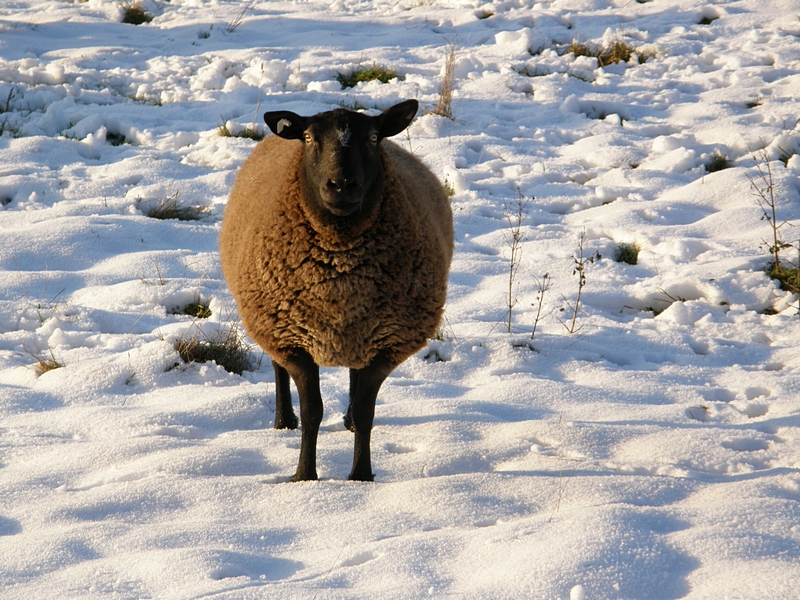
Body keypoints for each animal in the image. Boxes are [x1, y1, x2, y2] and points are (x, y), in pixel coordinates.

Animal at [219, 99, 454, 482]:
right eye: (310, 138)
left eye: (373, 138)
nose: (342, 185)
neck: (341, 278)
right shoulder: (292, 338)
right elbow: (312, 411)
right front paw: (304, 476)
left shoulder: (386, 342)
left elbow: (365, 411)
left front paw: (360, 475)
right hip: (269, 317)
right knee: (277, 367)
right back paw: (283, 420)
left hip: (363, 332)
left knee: (354, 377)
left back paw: (346, 422)